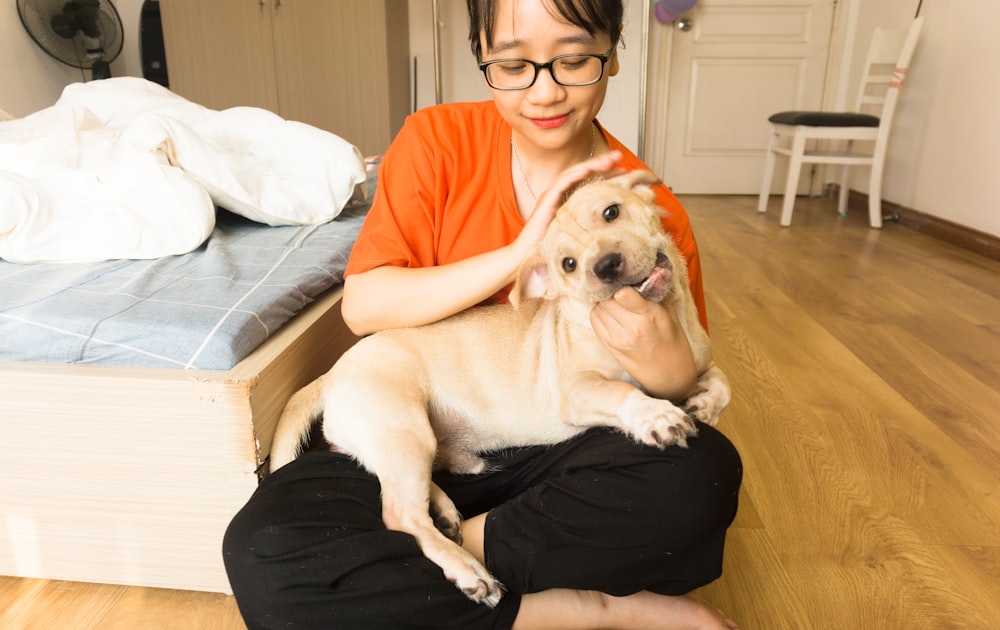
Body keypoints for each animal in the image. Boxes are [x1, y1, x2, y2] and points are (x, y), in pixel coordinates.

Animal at [270, 170, 732, 608]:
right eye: (568, 264)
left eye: (611, 212)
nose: (605, 266)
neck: (666, 312)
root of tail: (333, 374)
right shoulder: (577, 390)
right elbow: (622, 393)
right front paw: (656, 415)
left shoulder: (699, 363)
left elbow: (721, 382)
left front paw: (704, 405)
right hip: (404, 430)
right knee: (400, 515)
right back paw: (467, 571)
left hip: (406, 442)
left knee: (408, 490)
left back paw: (445, 506)